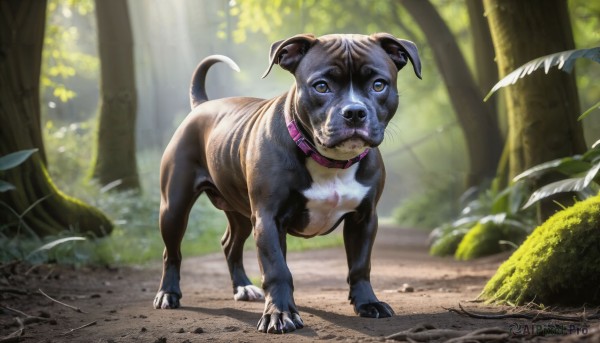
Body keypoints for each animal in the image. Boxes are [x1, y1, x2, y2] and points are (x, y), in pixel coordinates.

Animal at [155, 33, 422, 334]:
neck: (331, 161)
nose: (354, 112)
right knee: (171, 252)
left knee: (230, 244)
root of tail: (202, 106)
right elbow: (277, 269)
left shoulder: (363, 219)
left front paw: (368, 303)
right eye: (321, 86)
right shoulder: (269, 219)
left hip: (241, 212)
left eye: (378, 85)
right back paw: (168, 294)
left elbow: (360, 265)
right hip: (174, 208)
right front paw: (280, 314)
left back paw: (243, 287)